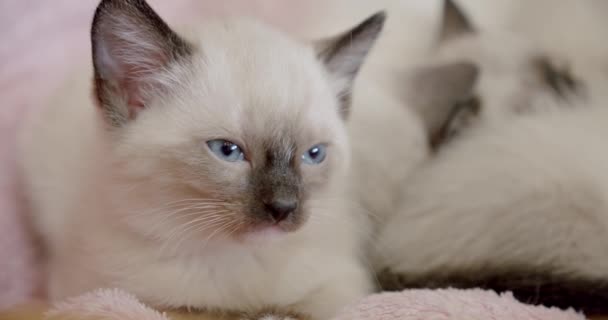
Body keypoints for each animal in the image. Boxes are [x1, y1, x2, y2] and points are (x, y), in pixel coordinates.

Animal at [17, 1, 384, 318]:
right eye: (227, 151)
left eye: (314, 154)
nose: (283, 209)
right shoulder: (102, 291)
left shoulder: (339, 286)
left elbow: (304, 308)